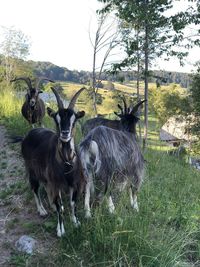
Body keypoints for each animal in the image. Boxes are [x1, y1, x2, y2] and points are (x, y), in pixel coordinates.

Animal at [20, 87, 86, 238]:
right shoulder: (56, 183)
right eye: (57, 119)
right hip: (32, 170)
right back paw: (42, 210)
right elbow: (59, 204)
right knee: (35, 189)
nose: (65, 133)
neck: (66, 162)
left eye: (74, 120)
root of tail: (30, 133)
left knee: (44, 187)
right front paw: (60, 230)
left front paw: (75, 222)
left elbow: (72, 203)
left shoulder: (74, 183)